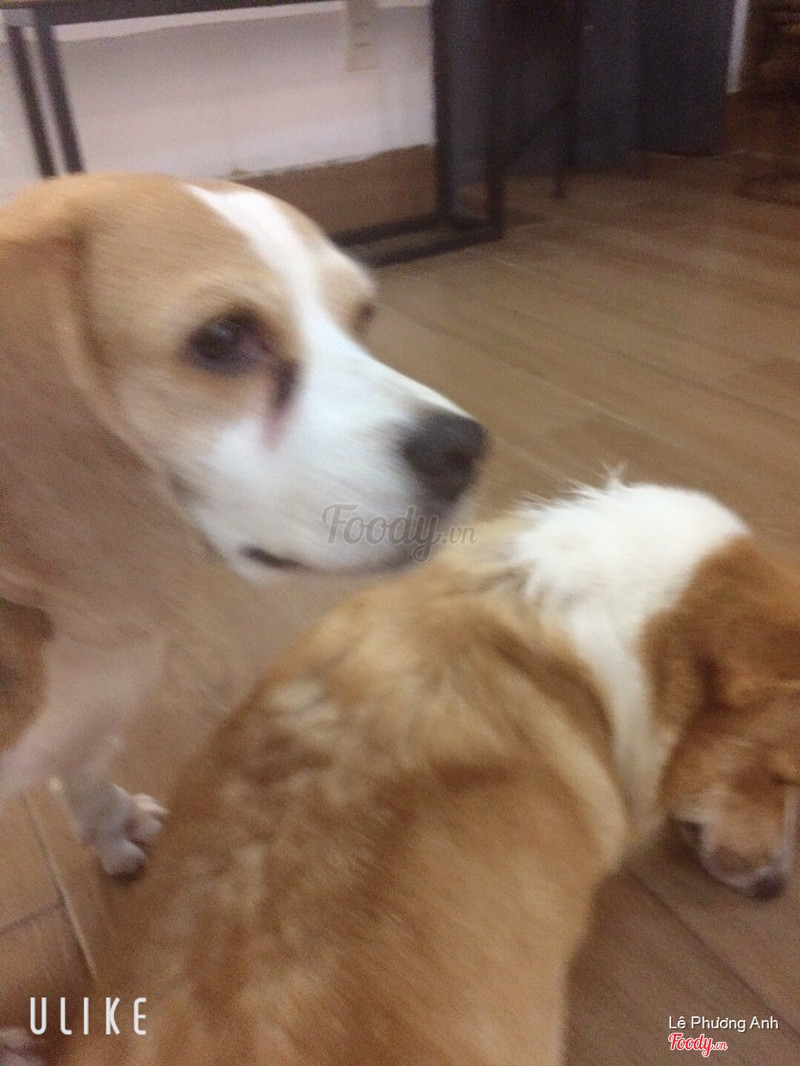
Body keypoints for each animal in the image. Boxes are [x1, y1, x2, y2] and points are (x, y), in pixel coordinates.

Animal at [0, 172, 486, 878]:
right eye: (222, 338)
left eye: (362, 315)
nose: (465, 450)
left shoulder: (88, 722)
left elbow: (87, 776)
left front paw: (114, 827)